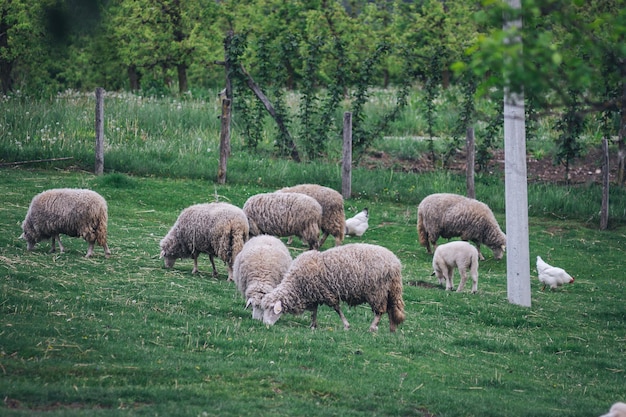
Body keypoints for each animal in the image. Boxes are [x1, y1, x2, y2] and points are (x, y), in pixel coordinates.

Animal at [258, 240, 404, 332]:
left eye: (271, 310)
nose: (265, 325)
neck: (297, 284)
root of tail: (395, 262)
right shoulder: (314, 293)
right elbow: (314, 310)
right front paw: (313, 325)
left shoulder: (327, 292)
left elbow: (337, 309)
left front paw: (346, 325)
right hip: (389, 290)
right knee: (391, 308)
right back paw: (392, 329)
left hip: (377, 291)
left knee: (381, 310)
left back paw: (373, 327)